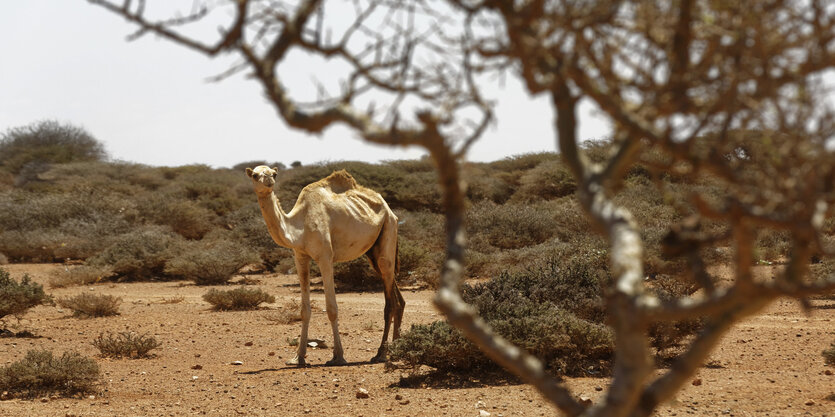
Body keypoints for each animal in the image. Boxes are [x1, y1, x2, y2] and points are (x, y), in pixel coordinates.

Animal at [245, 166, 404, 364]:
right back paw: (395, 349)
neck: (299, 226)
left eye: (274, 174)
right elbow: (304, 310)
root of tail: (390, 211)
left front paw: (338, 356)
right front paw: (298, 358)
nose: (268, 180)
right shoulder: (300, 257)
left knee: (389, 302)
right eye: (255, 175)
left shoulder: (325, 257)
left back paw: (381, 353)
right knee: (398, 300)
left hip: (388, 233)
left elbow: (331, 309)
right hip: (373, 252)